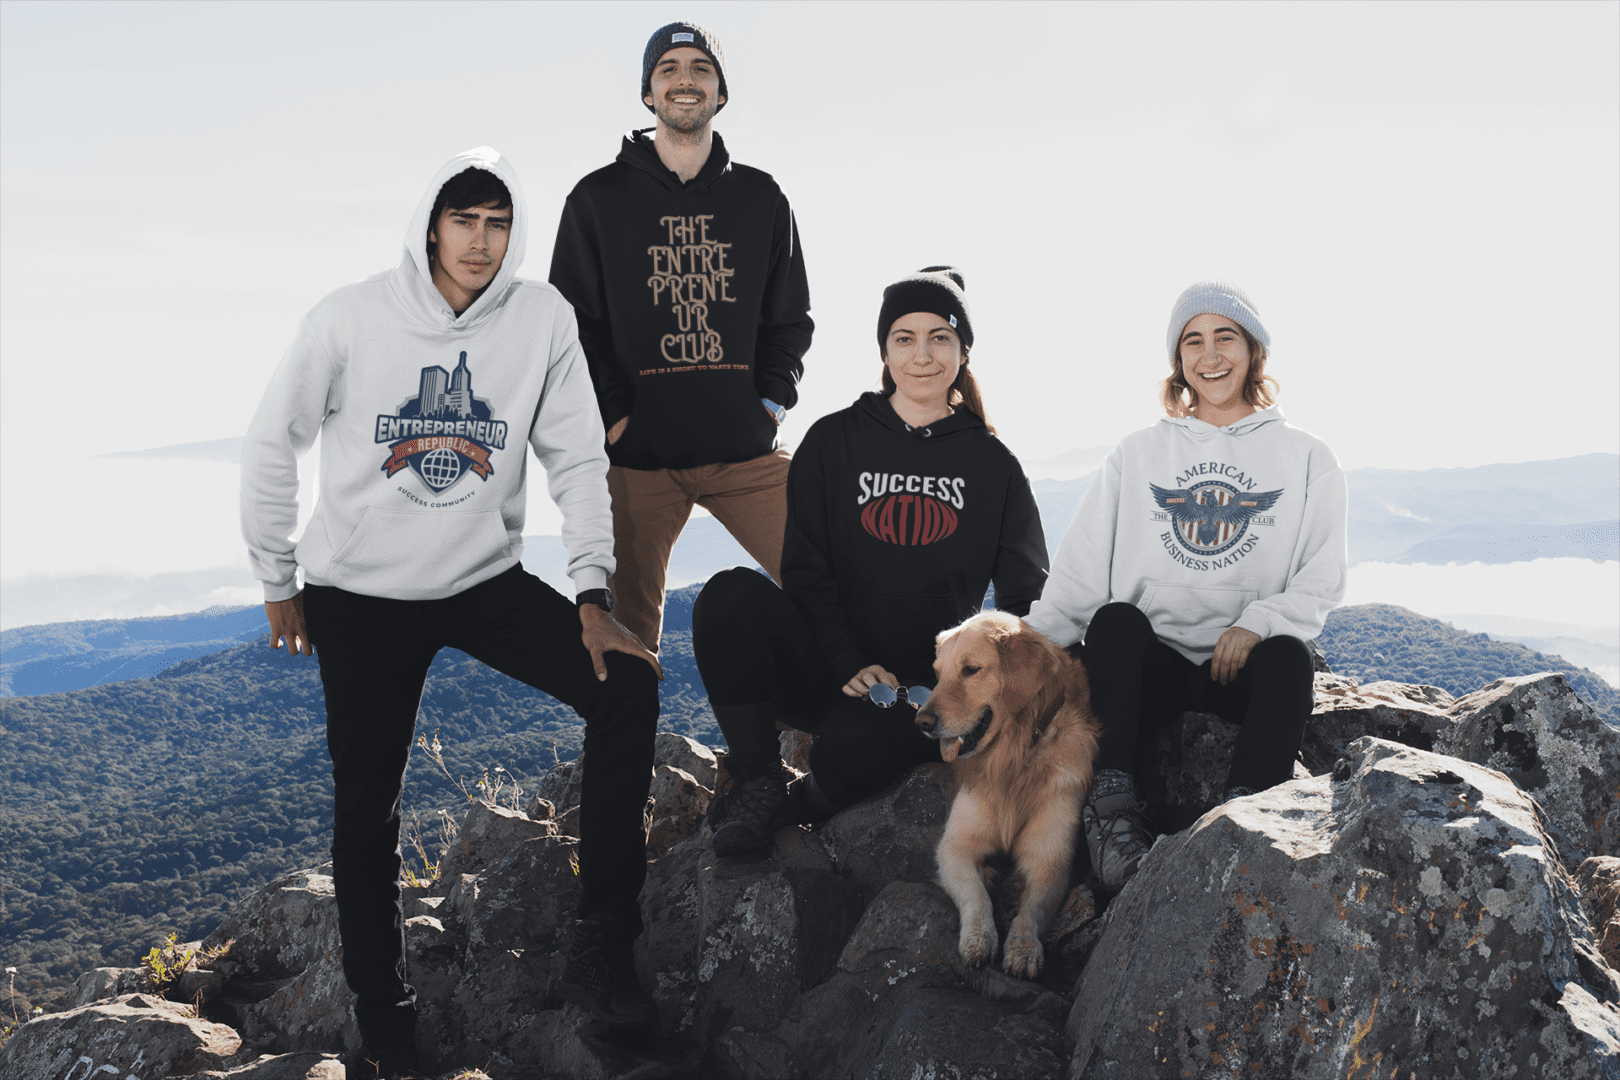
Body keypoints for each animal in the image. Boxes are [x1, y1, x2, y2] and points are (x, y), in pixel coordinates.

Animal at [913, 608, 1101, 977]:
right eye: (938, 675)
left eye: (971, 670)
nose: (921, 723)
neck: (1014, 758)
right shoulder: (954, 846)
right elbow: (975, 895)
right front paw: (978, 938)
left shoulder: (1050, 856)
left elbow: (1032, 909)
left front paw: (1023, 947)